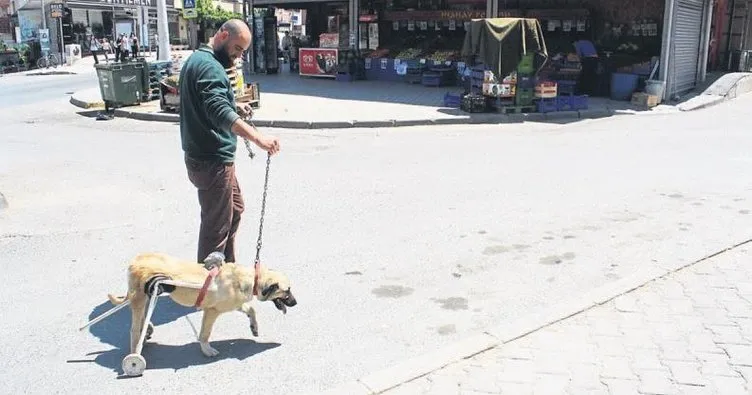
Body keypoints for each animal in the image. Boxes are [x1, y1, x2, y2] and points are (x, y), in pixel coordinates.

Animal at [107, 254, 296, 358]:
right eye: (287, 291)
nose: (295, 303)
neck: (253, 279)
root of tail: (136, 259)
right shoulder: (211, 311)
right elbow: (205, 333)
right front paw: (206, 350)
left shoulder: (234, 304)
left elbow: (251, 309)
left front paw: (254, 327)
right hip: (139, 299)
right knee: (133, 328)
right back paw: (135, 353)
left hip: (150, 295)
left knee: (144, 319)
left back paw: (146, 332)